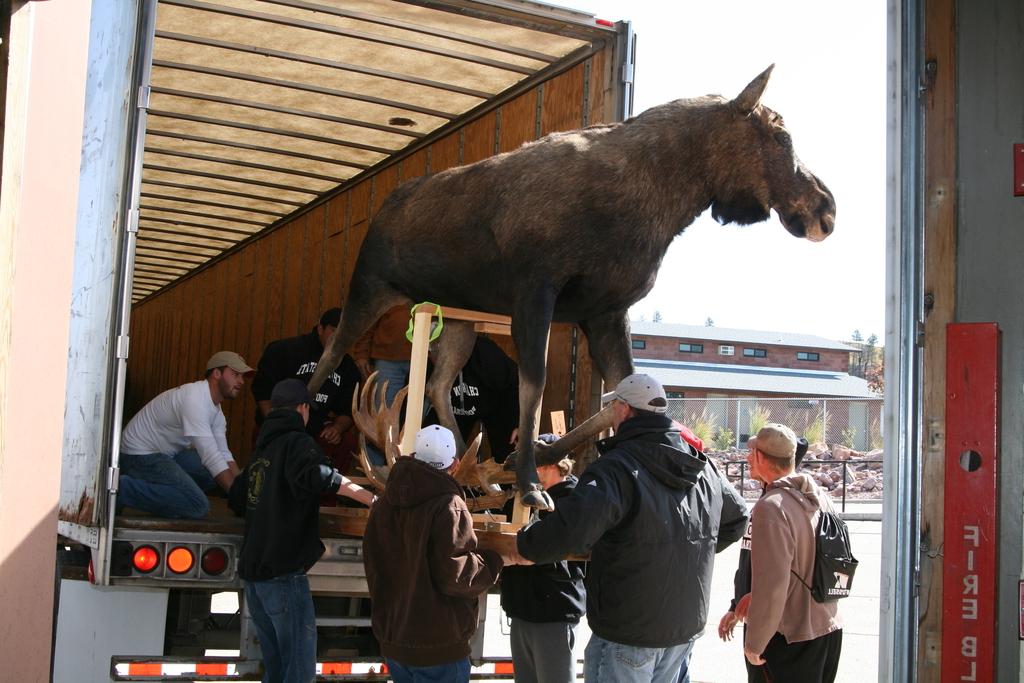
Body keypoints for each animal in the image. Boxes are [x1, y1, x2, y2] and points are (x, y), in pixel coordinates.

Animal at [307, 65, 835, 507]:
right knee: (330, 357)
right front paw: (527, 482)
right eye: (780, 132)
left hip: (457, 317)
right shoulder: (536, 289)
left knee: (437, 381)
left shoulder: (605, 310)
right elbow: (534, 385)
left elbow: (622, 396)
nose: (826, 207)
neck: (662, 203)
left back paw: (465, 463)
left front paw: (537, 459)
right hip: (368, 287)